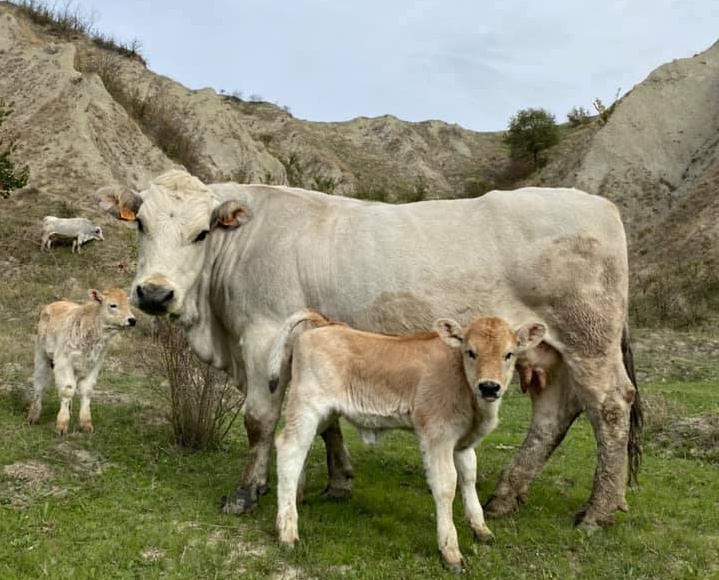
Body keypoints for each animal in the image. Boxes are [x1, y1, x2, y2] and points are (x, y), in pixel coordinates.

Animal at [27, 288, 137, 432]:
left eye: (129, 304)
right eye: (113, 305)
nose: (132, 320)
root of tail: (54, 304)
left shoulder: (95, 364)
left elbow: (86, 391)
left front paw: (85, 423)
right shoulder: (64, 361)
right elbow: (67, 390)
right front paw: (62, 424)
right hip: (41, 355)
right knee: (39, 384)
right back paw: (33, 416)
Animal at [94, 169, 640, 532]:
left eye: (201, 232)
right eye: (140, 224)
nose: (154, 293)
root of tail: (601, 204)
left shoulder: (264, 334)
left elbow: (259, 419)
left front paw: (246, 493)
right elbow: (326, 420)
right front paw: (337, 482)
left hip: (589, 341)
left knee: (611, 407)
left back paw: (598, 511)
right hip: (550, 350)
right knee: (554, 416)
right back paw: (507, 497)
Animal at [270, 308, 544, 572]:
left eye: (509, 354)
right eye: (470, 352)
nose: (489, 387)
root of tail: (326, 324)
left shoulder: (463, 443)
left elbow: (469, 477)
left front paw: (481, 529)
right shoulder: (437, 436)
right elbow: (446, 485)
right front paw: (450, 552)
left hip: (323, 414)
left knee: (299, 452)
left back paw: (296, 499)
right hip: (306, 406)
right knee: (289, 449)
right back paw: (287, 532)